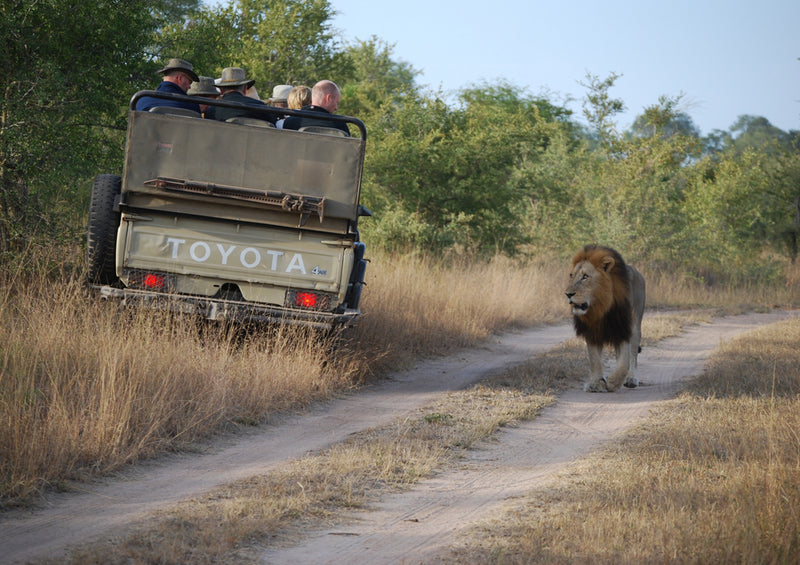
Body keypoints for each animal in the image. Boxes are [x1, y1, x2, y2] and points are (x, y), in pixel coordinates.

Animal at [564, 242, 648, 392]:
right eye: (571, 275)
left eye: (585, 276)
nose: (568, 294)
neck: (600, 307)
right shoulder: (591, 331)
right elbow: (594, 359)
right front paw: (595, 383)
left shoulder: (623, 327)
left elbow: (625, 361)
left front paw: (614, 382)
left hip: (635, 324)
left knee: (633, 354)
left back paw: (631, 379)